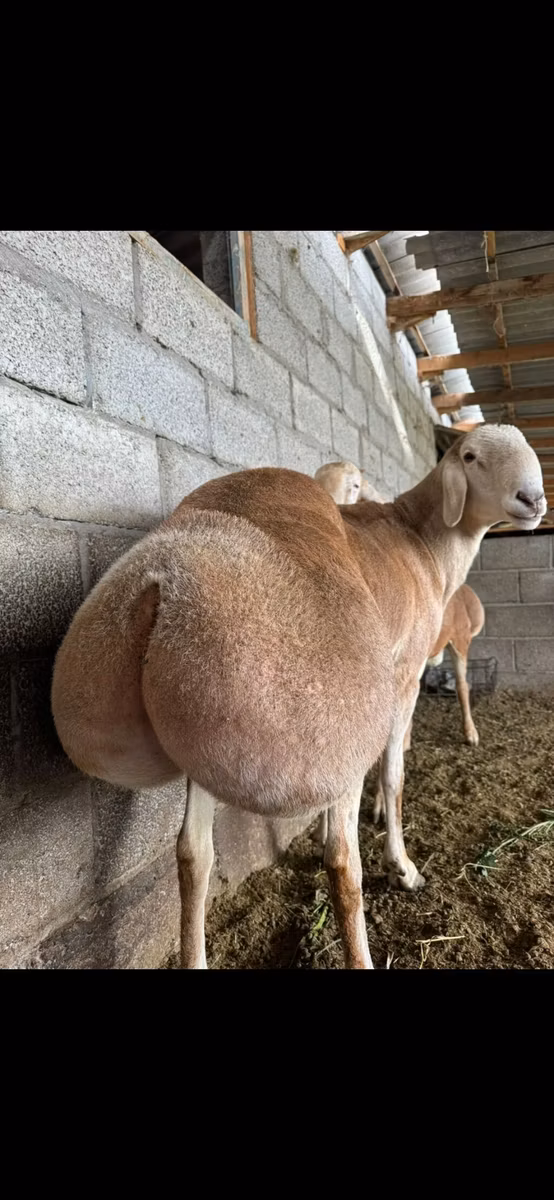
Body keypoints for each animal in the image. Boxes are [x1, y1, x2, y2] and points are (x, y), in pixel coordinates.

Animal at [51, 425, 545, 968]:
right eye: (471, 456)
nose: (533, 499)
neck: (424, 542)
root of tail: (162, 580)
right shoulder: (405, 672)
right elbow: (394, 774)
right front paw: (401, 864)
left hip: (201, 729)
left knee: (192, 853)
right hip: (332, 730)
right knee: (341, 860)